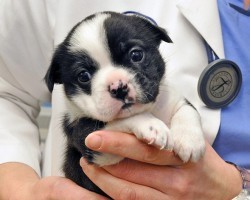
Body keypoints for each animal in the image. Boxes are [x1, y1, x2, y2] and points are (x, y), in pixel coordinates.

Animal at [45, 11, 205, 196]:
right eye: (83, 76)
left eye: (136, 55)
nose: (118, 87)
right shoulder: (93, 147)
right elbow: (121, 120)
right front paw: (152, 126)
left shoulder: (174, 99)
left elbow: (187, 110)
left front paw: (189, 139)